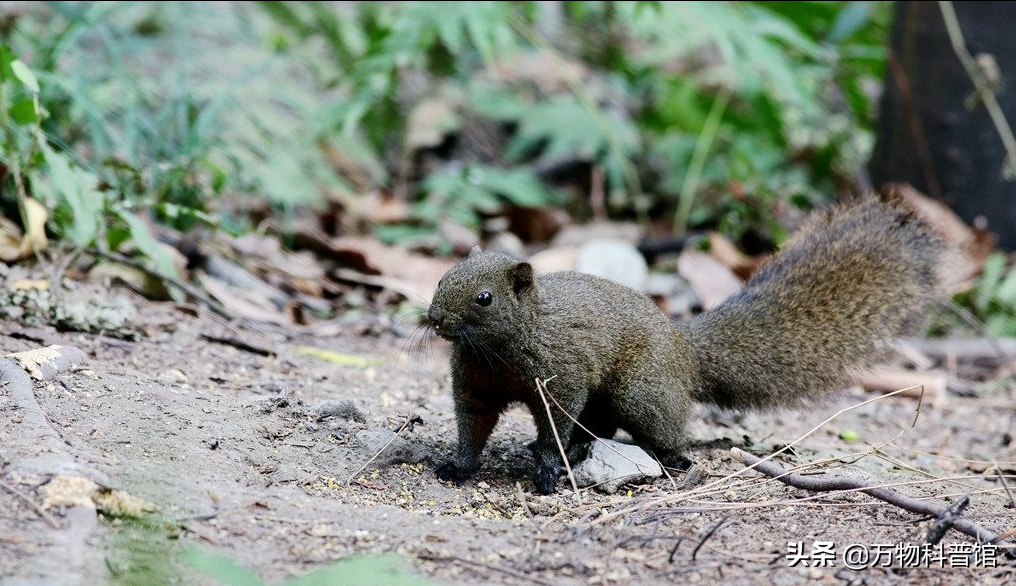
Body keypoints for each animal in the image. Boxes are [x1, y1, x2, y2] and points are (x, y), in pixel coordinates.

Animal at [424, 198, 946, 493]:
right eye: (441, 278)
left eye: (484, 298)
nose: (434, 318)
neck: (497, 352)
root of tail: (684, 349)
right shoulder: (474, 386)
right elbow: (472, 426)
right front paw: (457, 467)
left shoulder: (560, 375)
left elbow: (555, 423)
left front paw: (549, 471)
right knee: (601, 427)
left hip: (640, 391)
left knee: (660, 432)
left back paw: (671, 460)